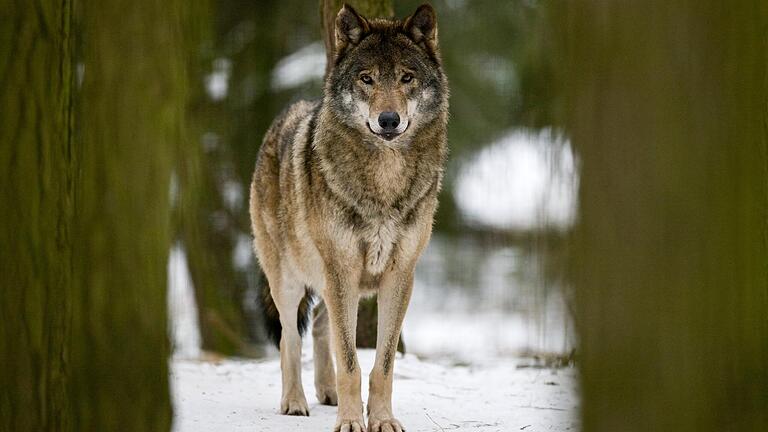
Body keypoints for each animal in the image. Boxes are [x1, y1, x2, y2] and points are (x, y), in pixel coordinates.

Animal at [249, 4, 448, 432]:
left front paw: (382, 419)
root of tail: (284, 116)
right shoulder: (341, 270)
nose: (388, 120)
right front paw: (351, 422)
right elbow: (351, 362)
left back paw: (327, 393)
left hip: (333, 284)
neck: (384, 183)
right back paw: (294, 402)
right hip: (290, 280)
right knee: (290, 338)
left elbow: (381, 365)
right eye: (366, 78)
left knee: (320, 324)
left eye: (406, 78)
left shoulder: (399, 275)